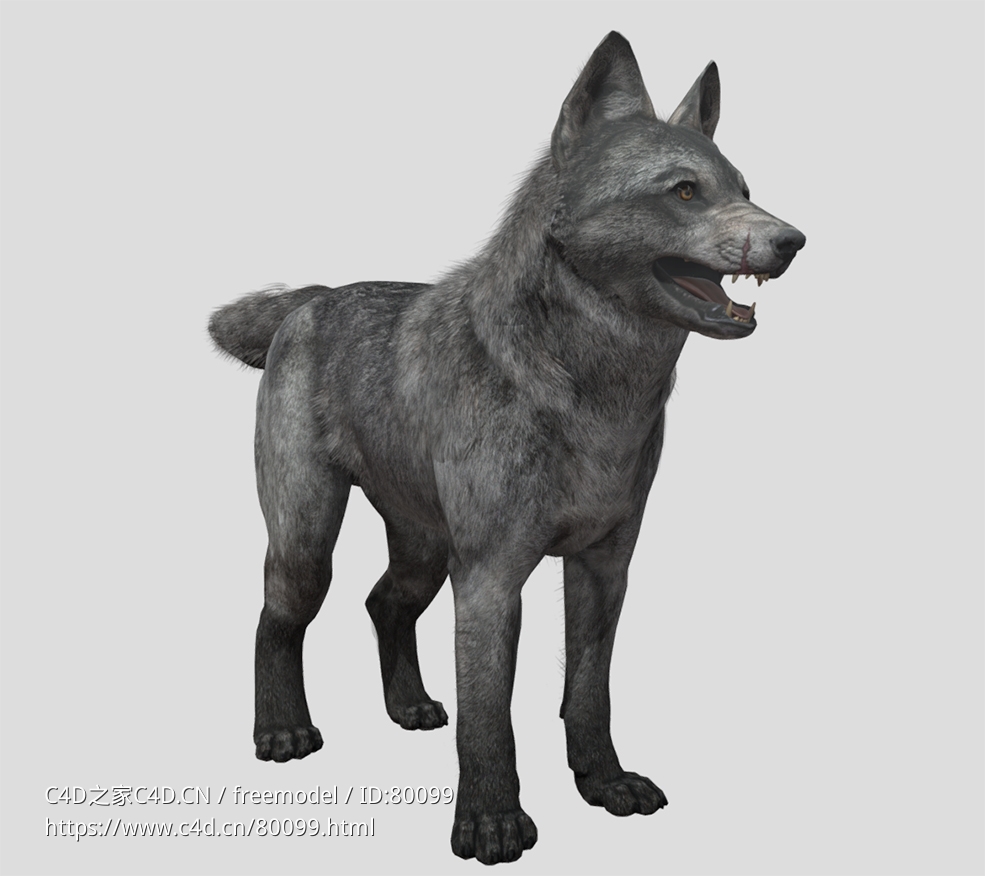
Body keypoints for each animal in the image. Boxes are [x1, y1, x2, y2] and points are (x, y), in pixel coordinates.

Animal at [209, 32, 805, 864]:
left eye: (745, 188)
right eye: (684, 192)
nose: (793, 241)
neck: (591, 397)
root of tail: (309, 299)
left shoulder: (602, 569)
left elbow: (588, 693)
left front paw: (604, 782)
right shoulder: (490, 578)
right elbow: (490, 715)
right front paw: (490, 823)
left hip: (424, 552)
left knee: (381, 602)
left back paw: (410, 706)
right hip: (308, 545)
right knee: (275, 621)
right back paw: (282, 731)